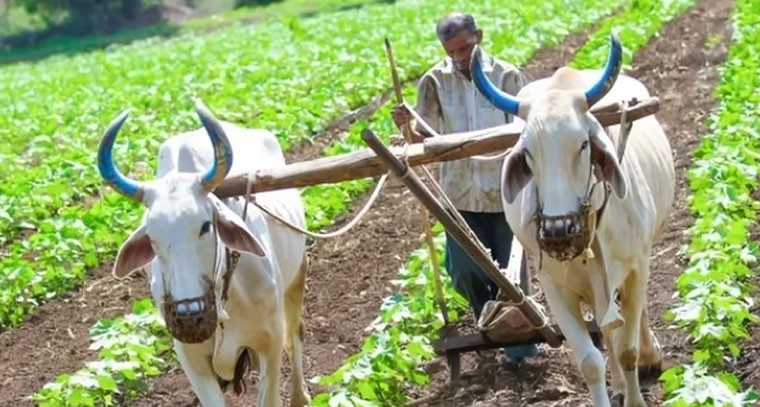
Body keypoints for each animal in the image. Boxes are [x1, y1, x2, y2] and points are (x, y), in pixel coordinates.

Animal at [96, 100, 311, 407]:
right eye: (152, 237)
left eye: (205, 226)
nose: (189, 318)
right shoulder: (191, 358)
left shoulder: (270, 340)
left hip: (298, 275)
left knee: (296, 334)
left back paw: (299, 395)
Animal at [470, 32, 675, 407]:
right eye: (528, 152)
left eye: (583, 144)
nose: (557, 231)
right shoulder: (554, 286)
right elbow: (592, 361)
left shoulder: (637, 266)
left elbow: (627, 350)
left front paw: (637, 387)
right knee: (608, 329)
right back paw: (620, 385)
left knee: (632, 322)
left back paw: (649, 358)